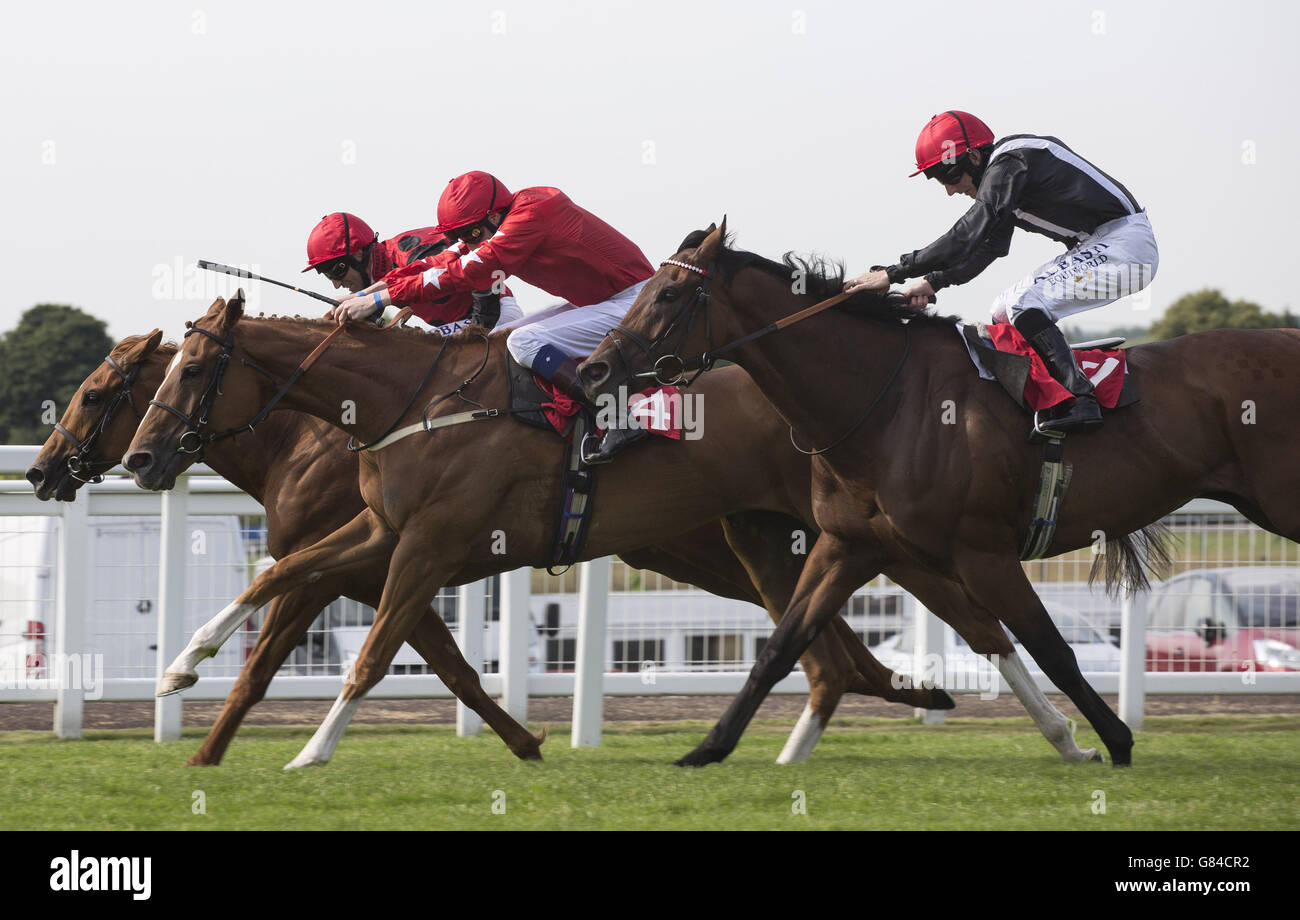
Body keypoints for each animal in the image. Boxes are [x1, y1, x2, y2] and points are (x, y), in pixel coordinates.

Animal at [27, 319, 935, 764]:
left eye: (97, 392)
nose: (39, 471)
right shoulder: (380, 544)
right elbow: (429, 654)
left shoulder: (410, 553)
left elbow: (316, 658)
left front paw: (223, 752)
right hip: (750, 539)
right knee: (824, 623)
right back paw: (881, 690)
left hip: (748, 541)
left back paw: (897, 686)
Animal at [585, 219, 1300, 764]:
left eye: (670, 293)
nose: (595, 368)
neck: (888, 402)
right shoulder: (849, 545)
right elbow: (782, 645)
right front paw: (707, 749)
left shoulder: (983, 553)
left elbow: (1053, 649)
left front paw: (1112, 743)